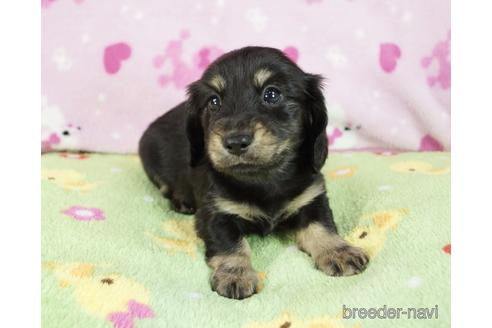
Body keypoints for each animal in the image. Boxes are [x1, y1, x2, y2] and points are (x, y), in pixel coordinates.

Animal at [138, 46, 368, 300]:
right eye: (214, 101)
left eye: (272, 94)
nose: (235, 142)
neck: (263, 178)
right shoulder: (215, 214)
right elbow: (232, 245)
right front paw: (235, 274)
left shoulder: (311, 198)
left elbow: (321, 227)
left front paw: (338, 251)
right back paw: (182, 201)